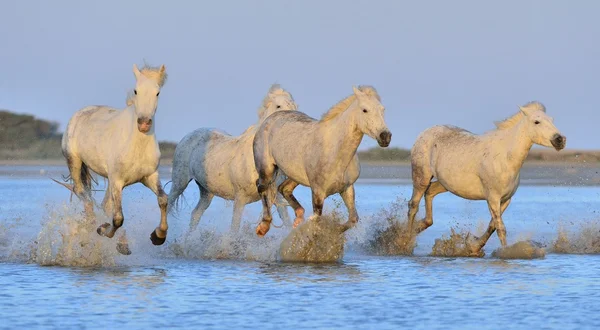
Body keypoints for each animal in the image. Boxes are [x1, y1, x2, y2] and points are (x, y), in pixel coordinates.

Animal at [59, 64, 169, 255]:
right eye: (136, 90)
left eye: (157, 92)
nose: (144, 123)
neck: (136, 144)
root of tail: (80, 113)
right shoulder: (117, 180)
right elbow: (118, 218)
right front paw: (102, 230)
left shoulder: (150, 176)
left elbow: (163, 200)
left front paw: (158, 236)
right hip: (75, 162)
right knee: (83, 194)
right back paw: (92, 226)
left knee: (103, 204)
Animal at [166, 84, 298, 232]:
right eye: (278, 106)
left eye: (294, 105)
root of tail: (188, 135)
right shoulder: (240, 198)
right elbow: (234, 230)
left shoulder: (276, 197)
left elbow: (287, 223)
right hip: (179, 182)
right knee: (168, 205)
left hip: (207, 191)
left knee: (196, 214)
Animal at [252, 85, 390, 235]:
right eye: (365, 110)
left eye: (382, 109)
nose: (385, 137)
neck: (336, 152)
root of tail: (270, 118)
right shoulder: (318, 191)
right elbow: (316, 220)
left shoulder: (347, 188)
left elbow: (352, 219)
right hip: (266, 168)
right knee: (262, 187)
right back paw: (263, 227)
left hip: (294, 175)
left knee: (283, 188)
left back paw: (298, 218)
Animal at [408, 102, 568, 254]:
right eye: (537, 122)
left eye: (552, 120)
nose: (560, 140)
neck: (505, 157)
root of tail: (424, 133)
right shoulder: (492, 197)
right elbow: (500, 228)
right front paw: (504, 252)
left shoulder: (505, 199)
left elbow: (492, 225)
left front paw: (473, 247)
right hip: (421, 177)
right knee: (413, 205)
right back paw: (406, 240)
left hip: (445, 184)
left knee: (429, 194)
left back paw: (418, 228)